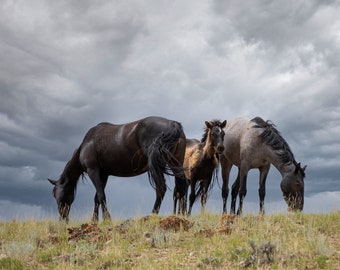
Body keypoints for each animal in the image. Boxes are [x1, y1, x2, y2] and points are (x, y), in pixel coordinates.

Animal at [48, 116, 187, 221]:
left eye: (55, 194)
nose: (62, 218)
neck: (87, 143)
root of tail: (173, 124)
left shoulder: (93, 171)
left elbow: (101, 196)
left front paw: (107, 219)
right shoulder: (103, 174)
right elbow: (97, 198)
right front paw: (95, 220)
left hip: (157, 167)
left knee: (161, 188)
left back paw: (152, 214)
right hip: (175, 163)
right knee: (182, 187)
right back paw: (182, 215)